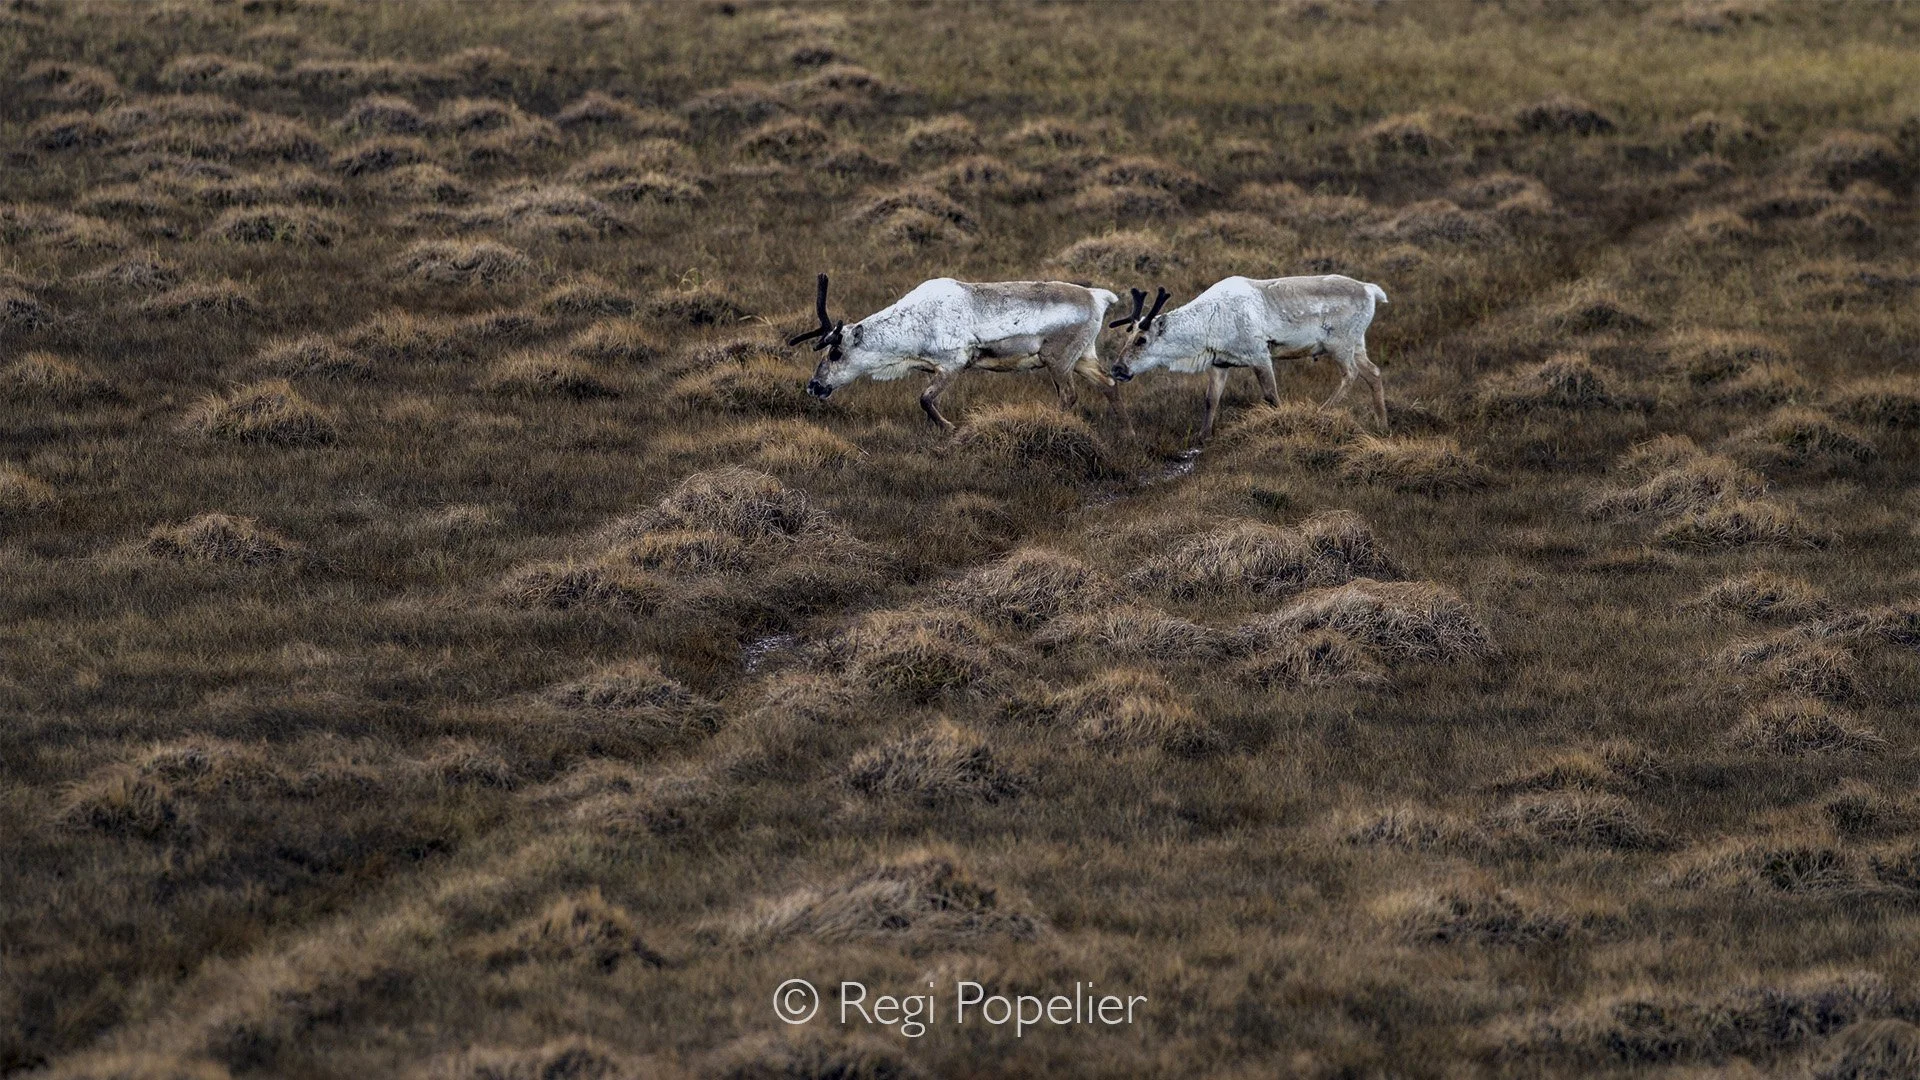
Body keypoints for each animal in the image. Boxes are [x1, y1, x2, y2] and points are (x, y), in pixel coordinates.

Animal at [789, 274, 1129, 432]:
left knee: (1069, 395)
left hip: (1057, 359)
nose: (813, 386)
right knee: (1110, 383)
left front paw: (951, 427)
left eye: (835, 353)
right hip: (1083, 356)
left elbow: (925, 400)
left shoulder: (953, 363)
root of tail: (1099, 297)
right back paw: (1127, 431)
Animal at [1107, 274, 1390, 442]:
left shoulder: (1260, 355)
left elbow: (1272, 397)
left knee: (1351, 374)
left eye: (1141, 340)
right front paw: (1203, 436)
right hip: (1357, 344)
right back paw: (1382, 425)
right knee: (1374, 373)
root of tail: (1371, 290)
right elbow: (1211, 399)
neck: (1209, 324)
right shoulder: (1219, 363)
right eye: (1127, 335)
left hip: (1340, 344)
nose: (1117, 368)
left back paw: (1323, 410)